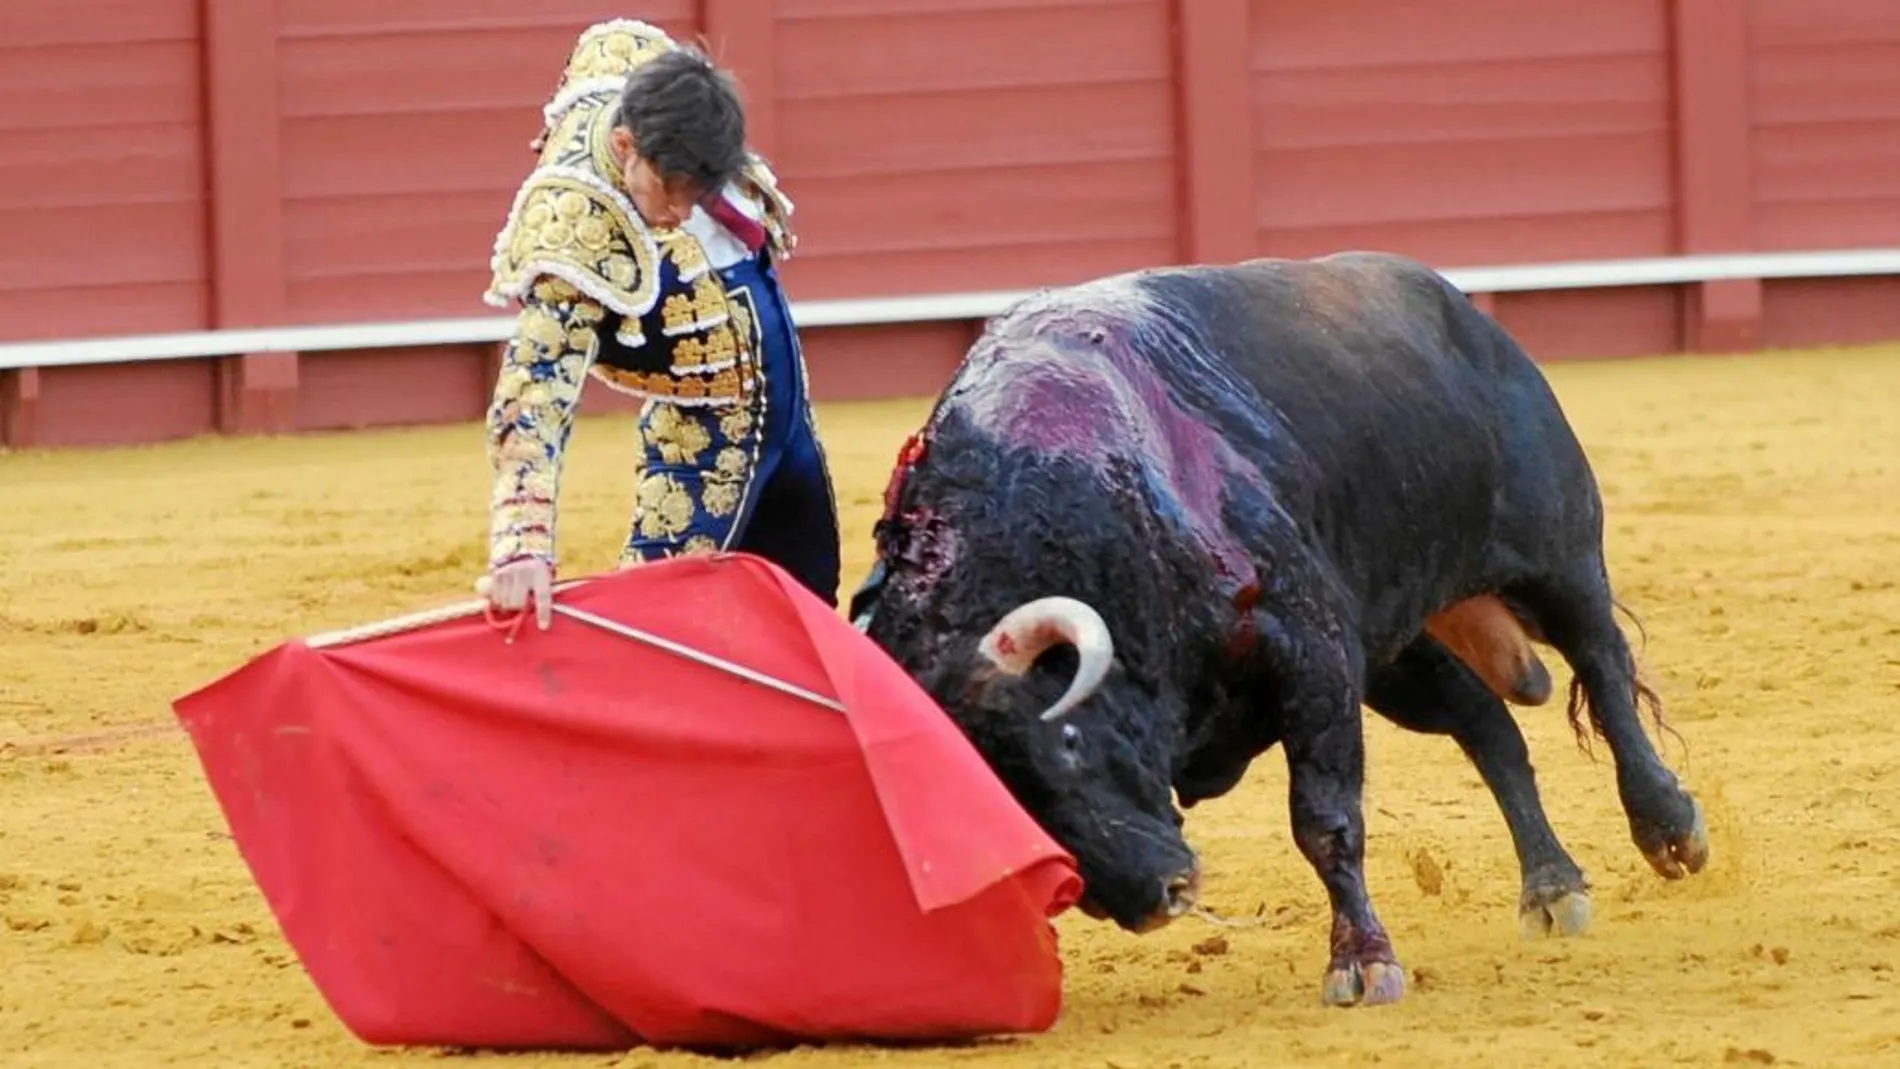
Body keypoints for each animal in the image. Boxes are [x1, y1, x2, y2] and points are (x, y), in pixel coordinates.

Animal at [847, 250, 1710, 1010]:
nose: (1157, 896)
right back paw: (1551, 885)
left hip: (1555, 553)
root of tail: (1459, 308)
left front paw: (1363, 965)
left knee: (1602, 665)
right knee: (1488, 724)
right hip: (1395, 649)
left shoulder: (1311, 649)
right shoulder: (1340, 649)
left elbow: (1325, 820)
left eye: (1064, 739)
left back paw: (1669, 827)